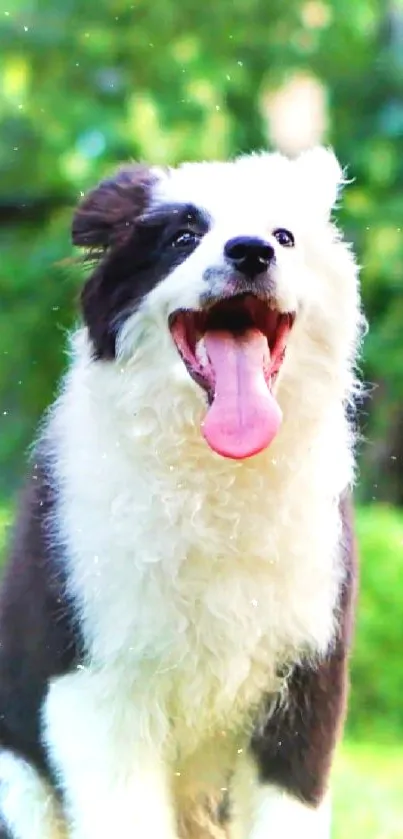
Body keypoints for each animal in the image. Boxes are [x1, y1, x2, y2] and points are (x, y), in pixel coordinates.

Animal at [0, 151, 362, 839]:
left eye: (283, 237)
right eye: (183, 237)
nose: (251, 252)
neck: (215, 475)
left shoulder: (307, 684)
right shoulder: (97, 687)